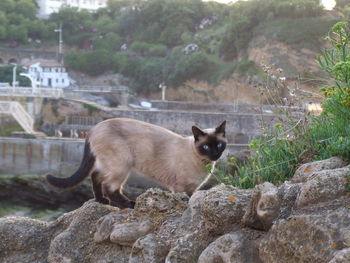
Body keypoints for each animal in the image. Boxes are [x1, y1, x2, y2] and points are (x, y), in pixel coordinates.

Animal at [45, 118, 227, 209]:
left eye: (219, 145)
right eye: (205, 147)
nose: (215, 154)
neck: (203, 164)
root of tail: (93, 128)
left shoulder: (193, 189)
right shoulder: (181, 188)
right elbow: (185, 201)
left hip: (112, 164)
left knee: (96, 176)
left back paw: (101, 200)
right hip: (123, 164)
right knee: (110, 187)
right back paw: (129, 204)